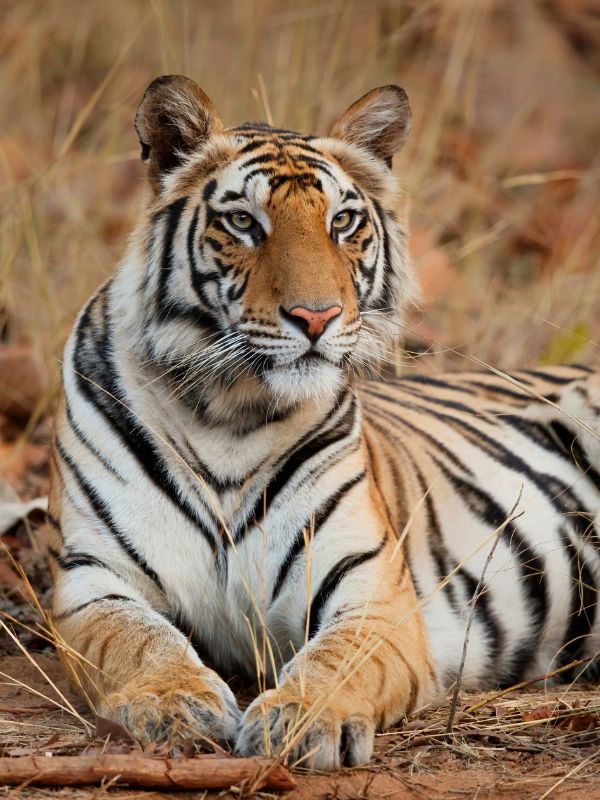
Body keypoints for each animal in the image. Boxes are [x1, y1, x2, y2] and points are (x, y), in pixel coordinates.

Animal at [49, 75, 600, 768]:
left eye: (342, 222)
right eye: (243, 221)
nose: (317, 317)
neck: (227, 413)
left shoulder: (373, 590)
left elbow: (337, 659)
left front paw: (303, 718)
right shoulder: (94, 576)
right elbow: (136, 640)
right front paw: (171, 704)